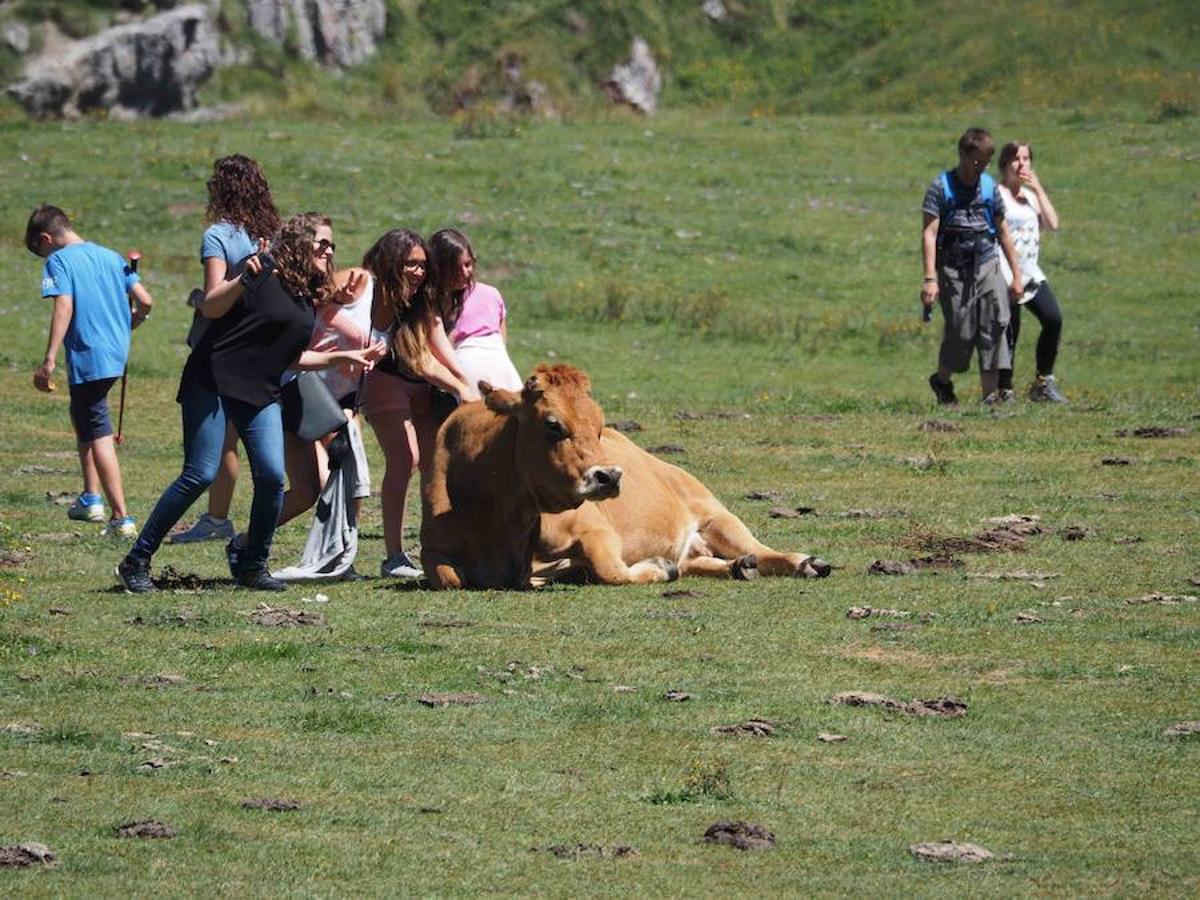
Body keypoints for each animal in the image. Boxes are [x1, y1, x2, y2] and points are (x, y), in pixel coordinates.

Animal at [424, 367, 835, 592]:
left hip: (716, 516)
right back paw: (736, 567)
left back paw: (804, 562)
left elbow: (612, 571)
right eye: (553, 424)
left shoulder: (596, 532)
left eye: (599, 424)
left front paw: (656, 569)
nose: (609, 475)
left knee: (762, 550)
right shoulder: (434, 551)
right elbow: (449, 576)